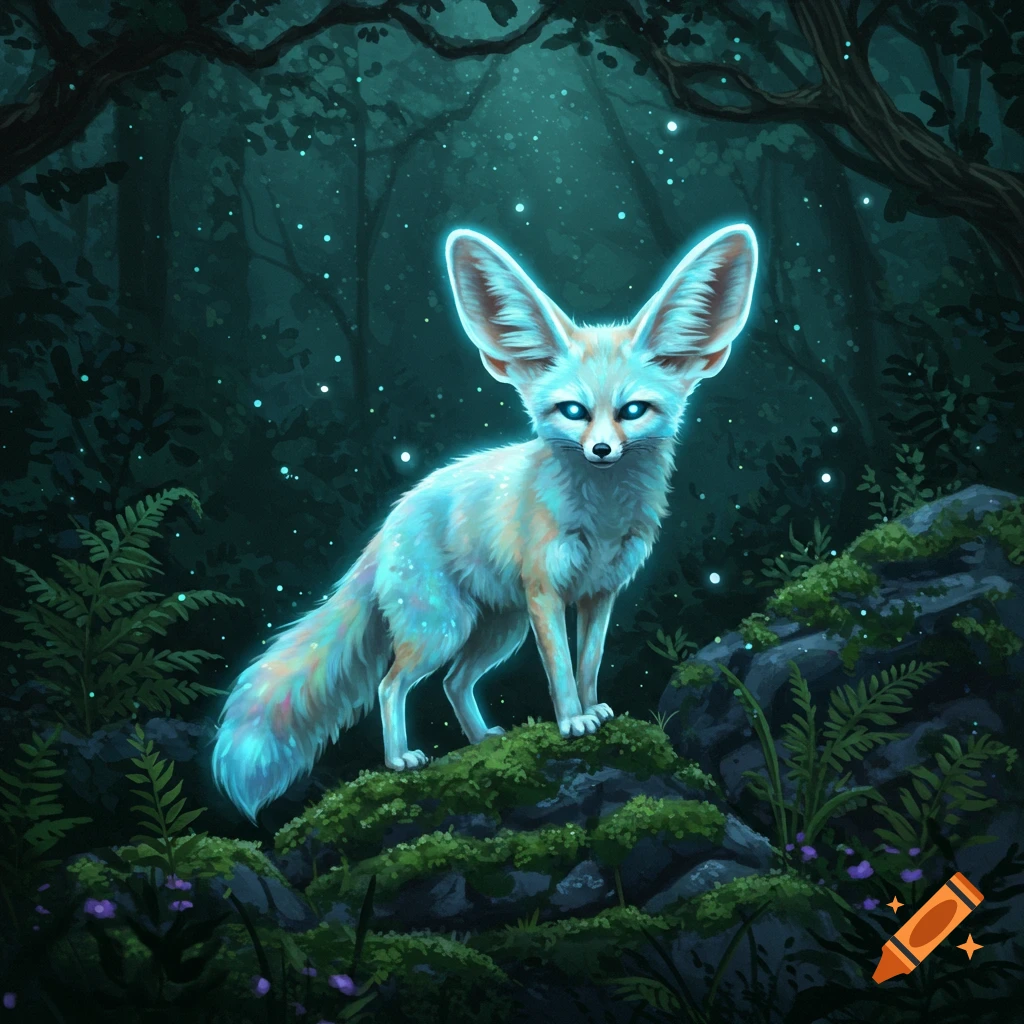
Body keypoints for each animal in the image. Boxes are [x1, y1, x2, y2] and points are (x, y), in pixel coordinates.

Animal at [212, 223, 758, 823]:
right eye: (573, 411)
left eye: (632, 410)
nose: (601, 450)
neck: (603, 519)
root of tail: (389, 523)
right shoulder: (546, 592)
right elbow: (561, 671)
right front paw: (572, 721)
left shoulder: (601, 593)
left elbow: (589, 665)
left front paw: (594, 712)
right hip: (444, 629)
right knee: (391, 684)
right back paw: (400, 759)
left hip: (499, 630)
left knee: (454, 683)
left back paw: (481, 742)